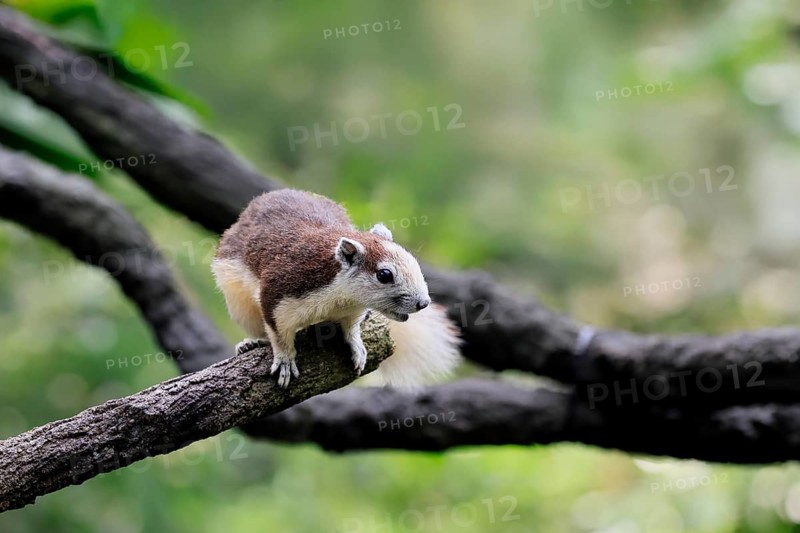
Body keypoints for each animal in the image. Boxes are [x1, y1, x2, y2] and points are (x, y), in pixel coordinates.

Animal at [212, 189, 461, 388]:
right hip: (240, 305)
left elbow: (351, 329)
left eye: (413, 260)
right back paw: (252, 342)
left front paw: (357, 347)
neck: (340, 299)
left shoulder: (352, 312)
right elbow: (279, 335)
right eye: (384, 275)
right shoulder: (276, 294)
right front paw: (284, 360)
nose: (423, 303)